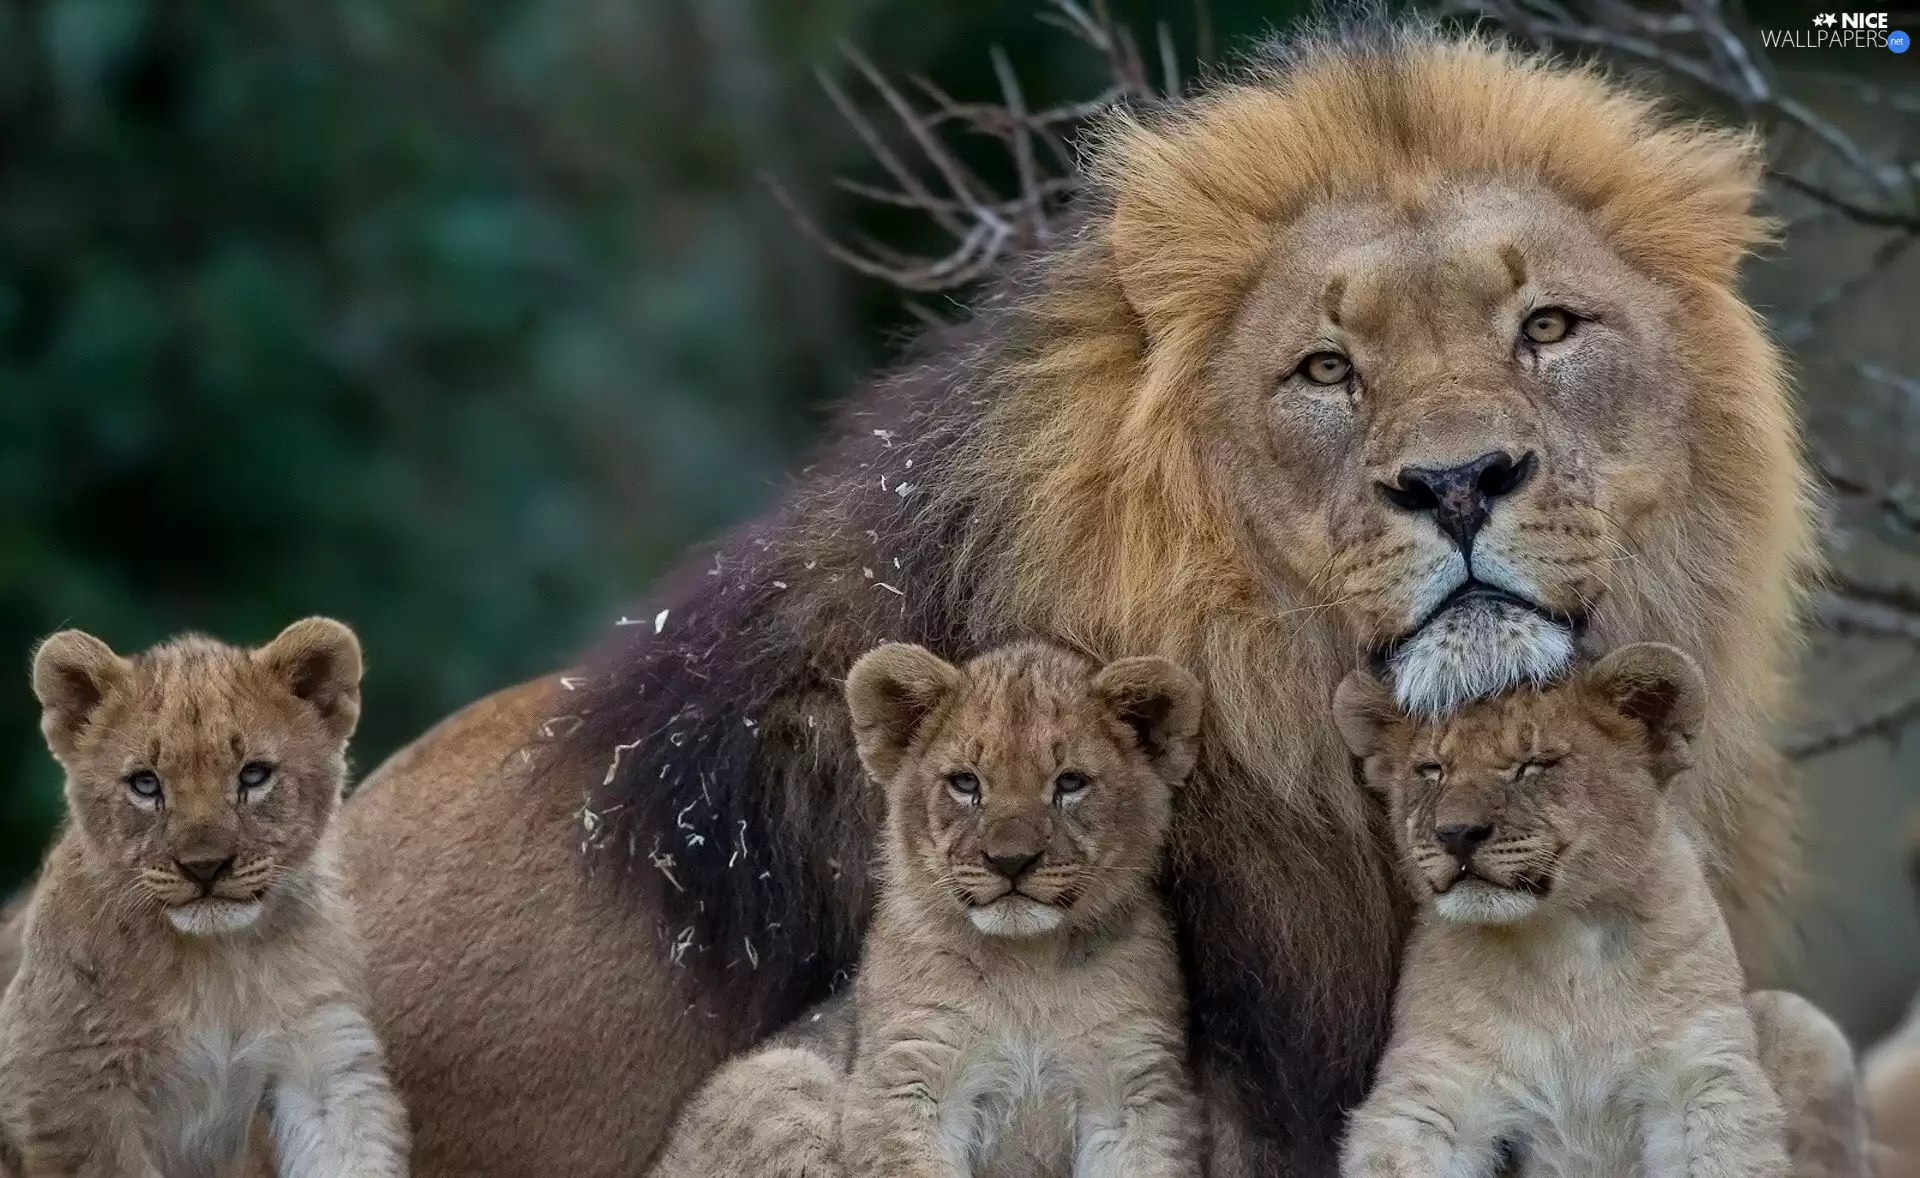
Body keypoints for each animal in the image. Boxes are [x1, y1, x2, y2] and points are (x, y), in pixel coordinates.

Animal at [0, 622, 408, 1178]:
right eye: (145, 783)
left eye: (254, 774)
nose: (205, 867)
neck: (216, 962)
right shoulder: (66, 1085)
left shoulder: (320, 1051)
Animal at [651, 642, 1202, 1178]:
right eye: (965, 782)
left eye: (1070, 783)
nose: (1011, 861)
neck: (1030, 965)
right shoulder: (907, 1080)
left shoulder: (1136, 1093)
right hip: (783, 1078)